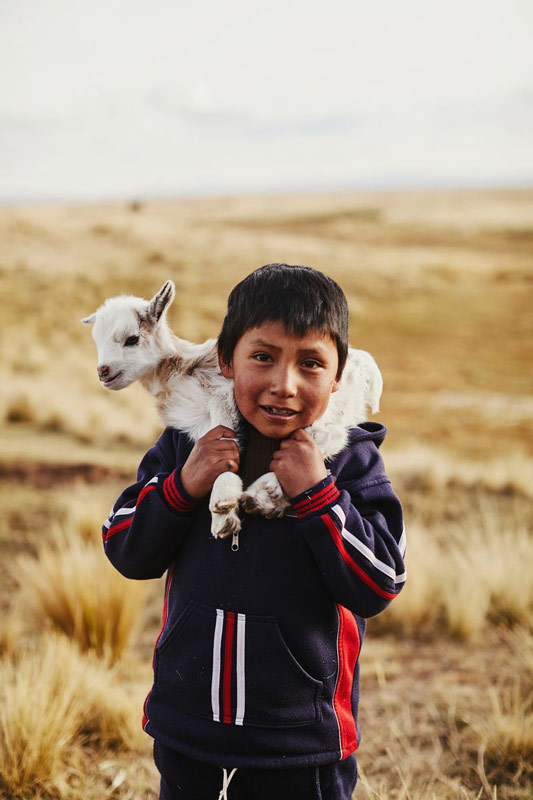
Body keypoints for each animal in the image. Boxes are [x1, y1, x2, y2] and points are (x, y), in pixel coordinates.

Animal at [82, 278, 382, 548]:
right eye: (97, 341)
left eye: (132, 339)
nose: (103, 371)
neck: (178, 374)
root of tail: (363, 366)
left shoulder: (222, 395)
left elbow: (227, 439)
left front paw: (222, 507)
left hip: (330, 406)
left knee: (326, 437)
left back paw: (266, 492)